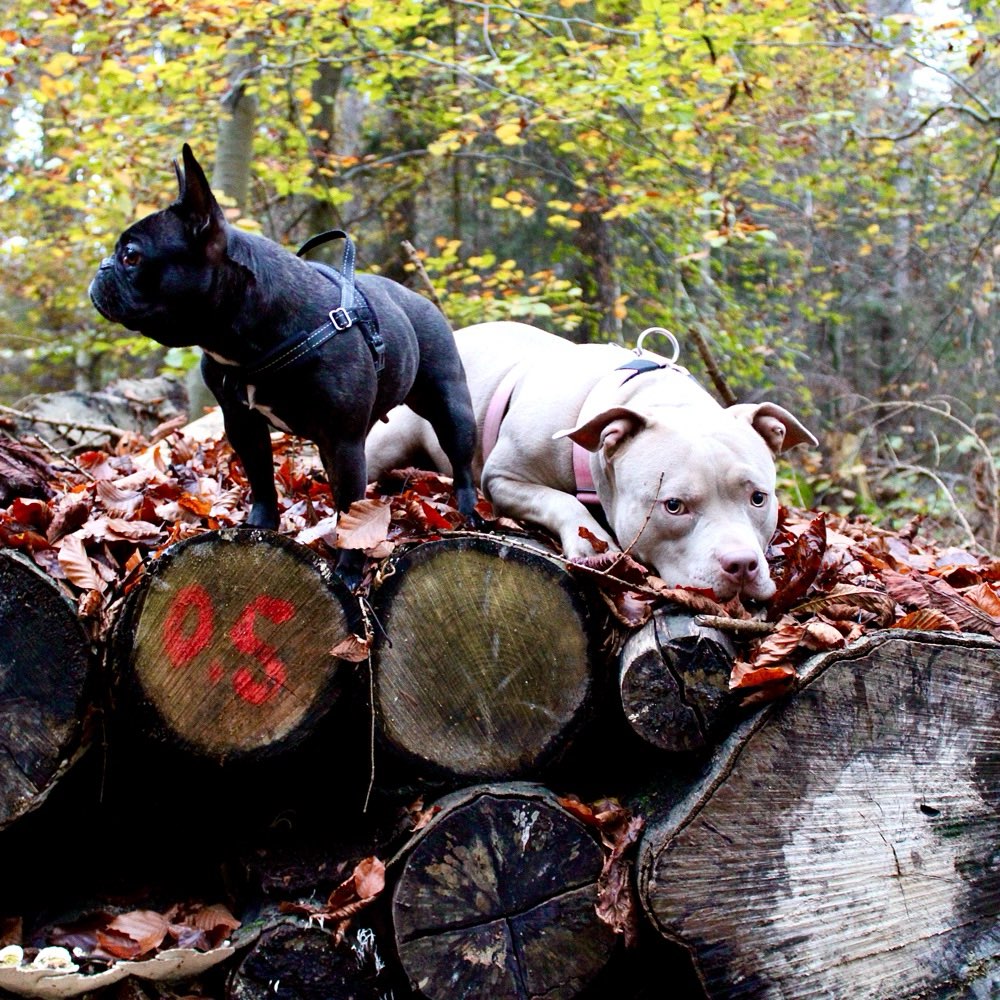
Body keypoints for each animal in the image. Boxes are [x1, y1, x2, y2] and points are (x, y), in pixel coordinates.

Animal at [364, 320, 816, 600]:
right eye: (673, 506)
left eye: (758, 498)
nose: (742, 565)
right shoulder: (502, 477)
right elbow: (561, 499)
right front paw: (591, 542)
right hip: (389, 440)